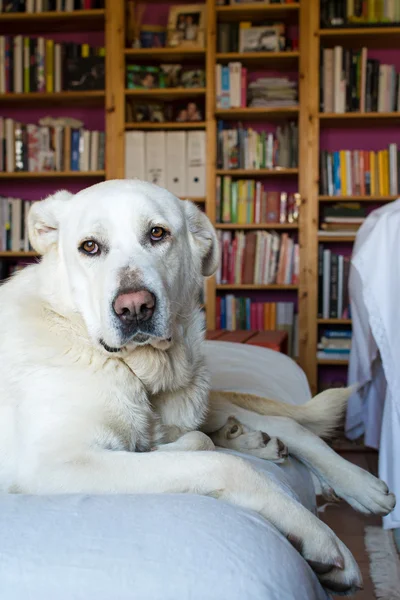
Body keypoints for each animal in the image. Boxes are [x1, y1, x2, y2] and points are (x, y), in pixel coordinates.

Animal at [0, 179, 394, 596]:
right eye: (89, 246)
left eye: (157, 233)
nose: (134, 307)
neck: (139, 372)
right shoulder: (56, 465)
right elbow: (220, 462)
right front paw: (319, 537)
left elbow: (214, 443)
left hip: (199, 397)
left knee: (281, 423)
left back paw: (346, 478)